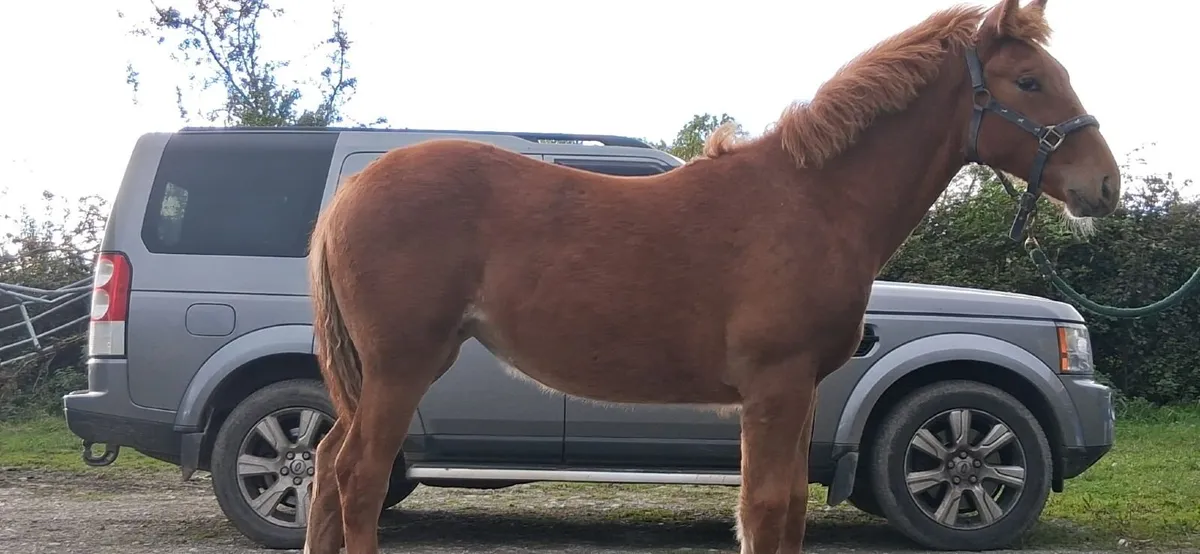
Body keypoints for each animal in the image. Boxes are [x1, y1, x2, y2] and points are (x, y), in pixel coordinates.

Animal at [302, 0, 1121, 552]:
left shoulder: (801, 391)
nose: (1105, 186)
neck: (814, 199)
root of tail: (350, 195)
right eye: (1029, 81)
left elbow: (787, 509)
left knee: (325, 463)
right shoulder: (774, 385)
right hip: (403, 367)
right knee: (359, 475)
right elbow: (763, 509)